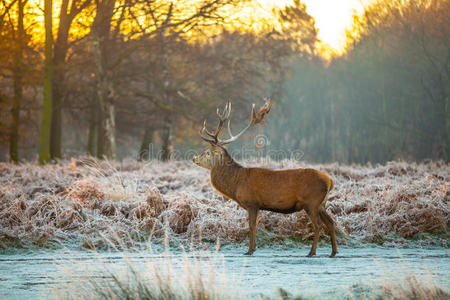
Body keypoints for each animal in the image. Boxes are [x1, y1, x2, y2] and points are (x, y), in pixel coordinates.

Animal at [192, 101, 338, 258]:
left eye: (207, 152)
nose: (194, 158)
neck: (236, 184)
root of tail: (330, 181)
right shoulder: (257, 206)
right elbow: (256, 225)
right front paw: (254, 248)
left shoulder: (252, 203)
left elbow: (251, 225)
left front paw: (249, 250)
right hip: (321, 204)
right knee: (331, 222)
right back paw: (333, 252)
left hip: (311, 202)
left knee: (318, 225)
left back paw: (311, 252)